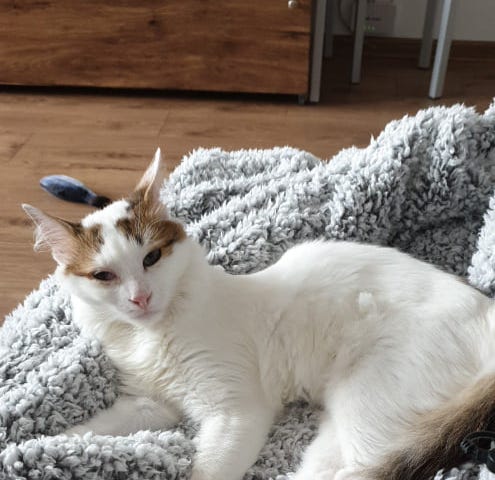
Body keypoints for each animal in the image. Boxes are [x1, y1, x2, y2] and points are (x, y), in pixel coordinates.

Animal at [23, 148, 495, 478]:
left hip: (369, 403)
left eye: (151, 258)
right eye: (104, 276)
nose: (140, 298)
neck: (152, 336)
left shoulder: (237, 411)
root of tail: (485, 308)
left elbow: (205, 472)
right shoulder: (148, 403)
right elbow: (90, 429)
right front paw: (42, 445)